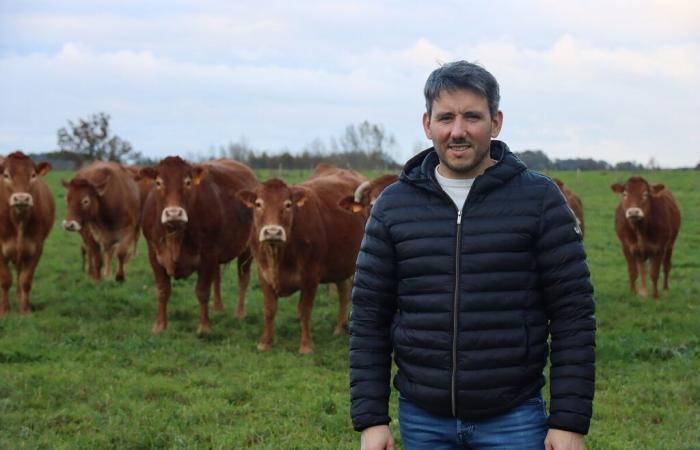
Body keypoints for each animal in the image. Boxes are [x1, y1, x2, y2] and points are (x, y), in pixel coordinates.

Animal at [0, 153, 54, 314]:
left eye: (33, 175)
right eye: (6, 175)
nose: (22, 198)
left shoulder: (36, 248)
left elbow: (26, 279)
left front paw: (25, 310)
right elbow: (5, 280)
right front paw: (5, 310)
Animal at [138, 156, 256, 332]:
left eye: (188, 182)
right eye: (158, 182)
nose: (174, 213)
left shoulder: (208, 254)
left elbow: (202, 291)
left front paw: (205, 326)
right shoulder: (153, 254)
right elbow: (162, 290)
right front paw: (159, 326)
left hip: (247, 250)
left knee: (243, 278)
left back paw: (240, 312)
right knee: (217, 277)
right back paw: (218, 308)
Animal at [237, 166, 364, 356]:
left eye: (288, 205)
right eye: (258, 204)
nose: (272, 232)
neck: (278, 255)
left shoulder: (311, 276)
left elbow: (304, 310)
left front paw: (306, 346)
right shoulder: (263, 273)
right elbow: (269, 309)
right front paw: (265, 342)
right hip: (339, 265)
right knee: (344, 291)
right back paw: (338, 329)